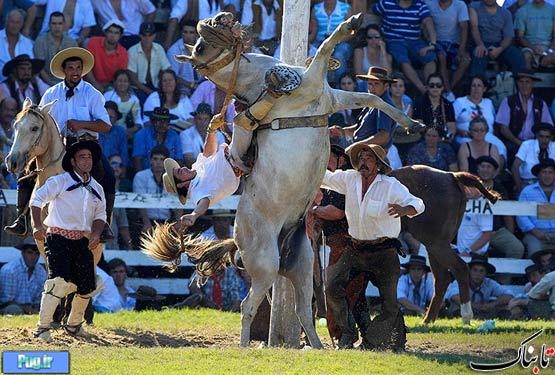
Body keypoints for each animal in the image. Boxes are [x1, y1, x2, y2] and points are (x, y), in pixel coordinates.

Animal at [141, 11, 424, 348]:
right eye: (198, 48)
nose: (219, 18)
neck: (259, 81)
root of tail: (237, 240)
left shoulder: (332, 97)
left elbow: (372, 97)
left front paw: (413, 123)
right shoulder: (313, 83)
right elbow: (327, 48)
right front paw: (349, 25)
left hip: (301, 265)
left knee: (303, 308)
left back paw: (318, 347)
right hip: (266, 266)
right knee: (248, 305)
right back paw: (245, 346)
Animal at [394, 166, 502, 324]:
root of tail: (452, 176)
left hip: (437, 244)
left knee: (460, 268)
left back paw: (466, 316)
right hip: (435, 246)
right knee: (442, 278)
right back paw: (428, 320)